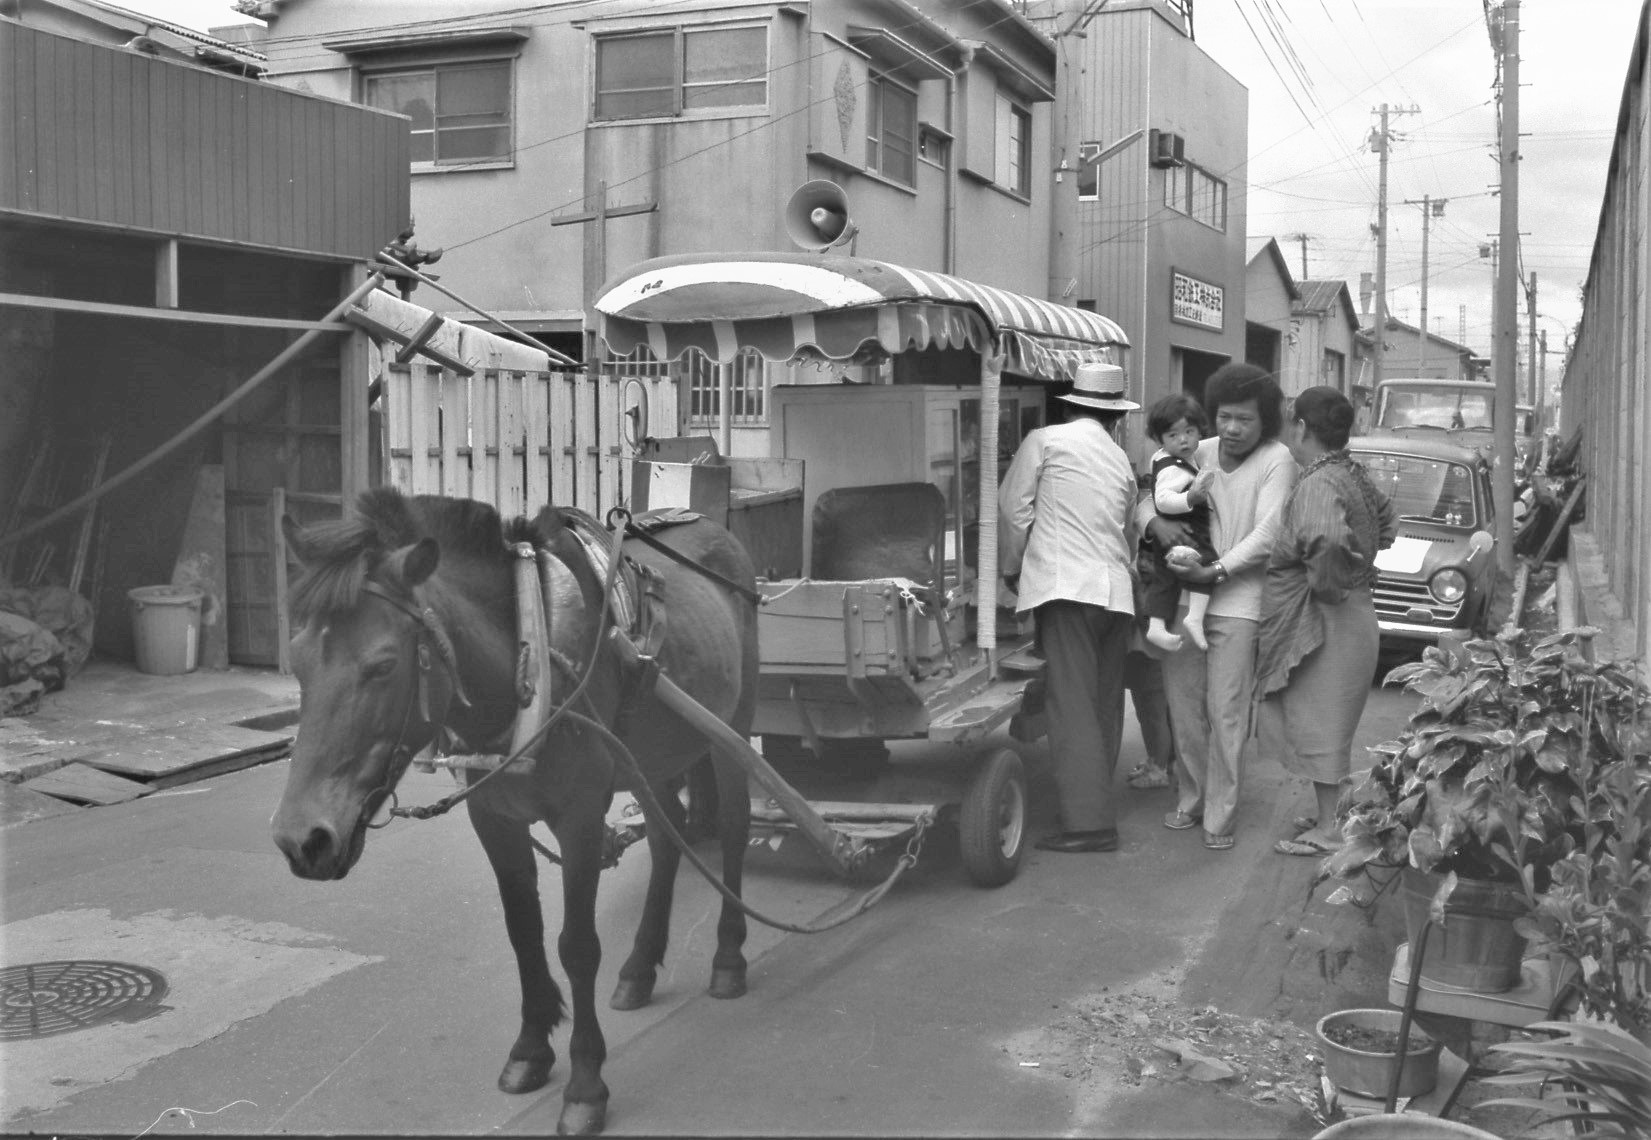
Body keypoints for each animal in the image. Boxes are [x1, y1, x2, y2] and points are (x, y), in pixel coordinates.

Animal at [270, 485, 759, 1130]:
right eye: (298, 659)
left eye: (383, 665)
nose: (302, 839)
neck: (527, 659)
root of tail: (716, 529)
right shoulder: (493, 818)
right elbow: (523, 931)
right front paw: (530, 1049)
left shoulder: (580, 818)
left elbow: (577, 946)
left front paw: (585, 1083)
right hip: (651, 755)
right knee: (666, 837)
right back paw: (638, 968)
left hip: (731, 728)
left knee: (732, 828)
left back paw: (729, 957)